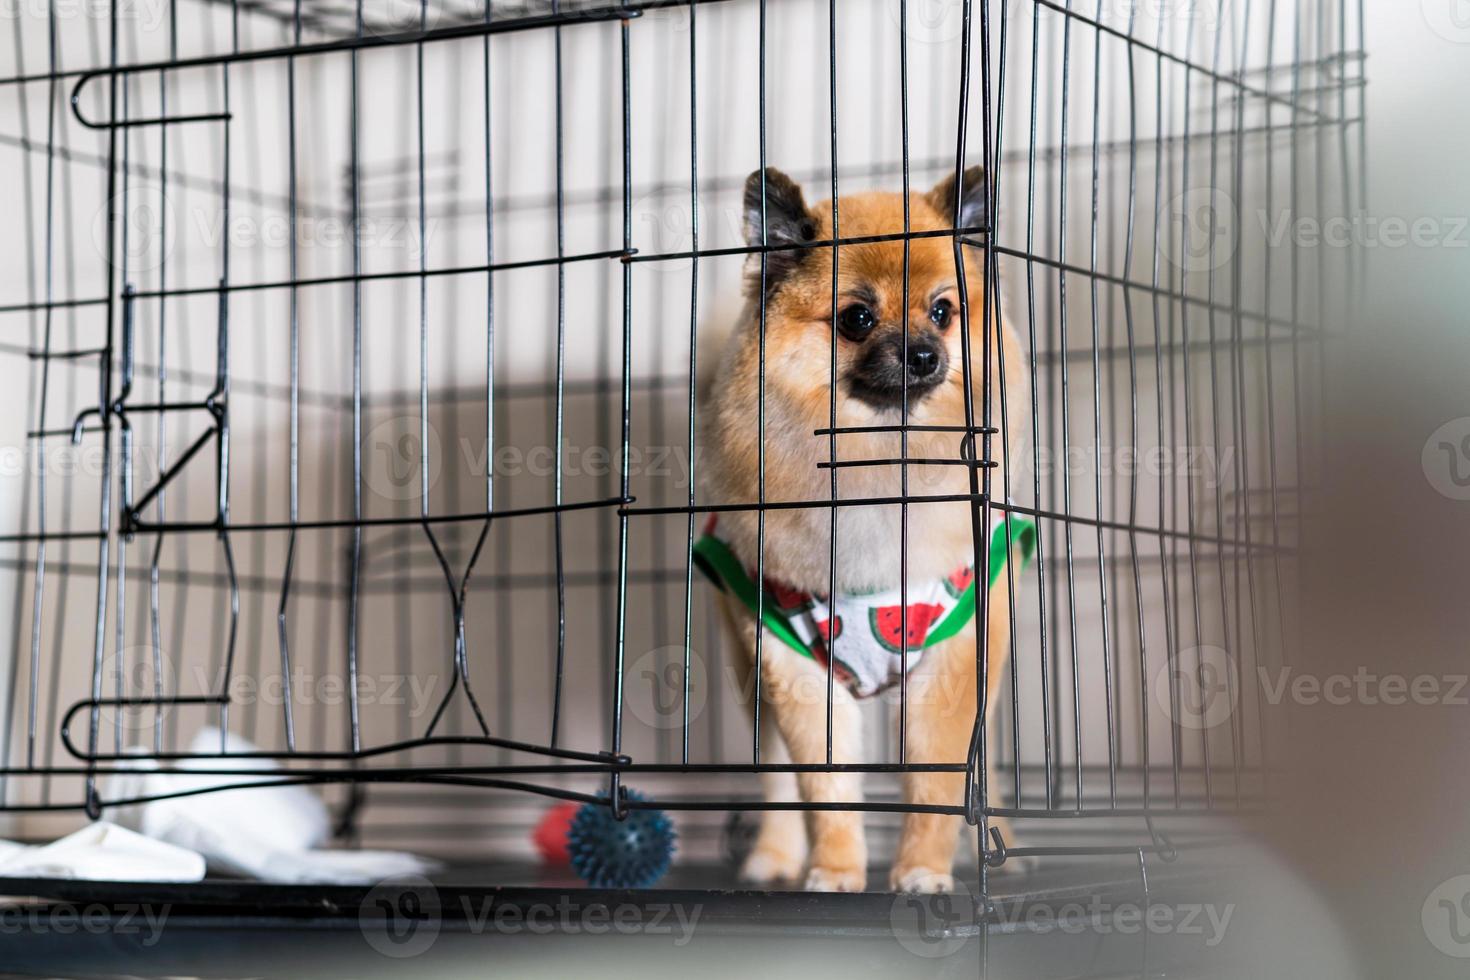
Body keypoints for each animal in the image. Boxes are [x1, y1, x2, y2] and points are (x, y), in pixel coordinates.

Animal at [690, 168, 1029, 899]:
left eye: (943, 311)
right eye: (857, 319)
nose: (925, 354)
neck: (876, 466)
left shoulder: (954, 663)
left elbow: (937, 787)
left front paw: (923, 871)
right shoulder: (794, 668)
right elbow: (825, 790)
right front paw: (836, 869)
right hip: (752, 675)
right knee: (777, 782)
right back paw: (774, 857)